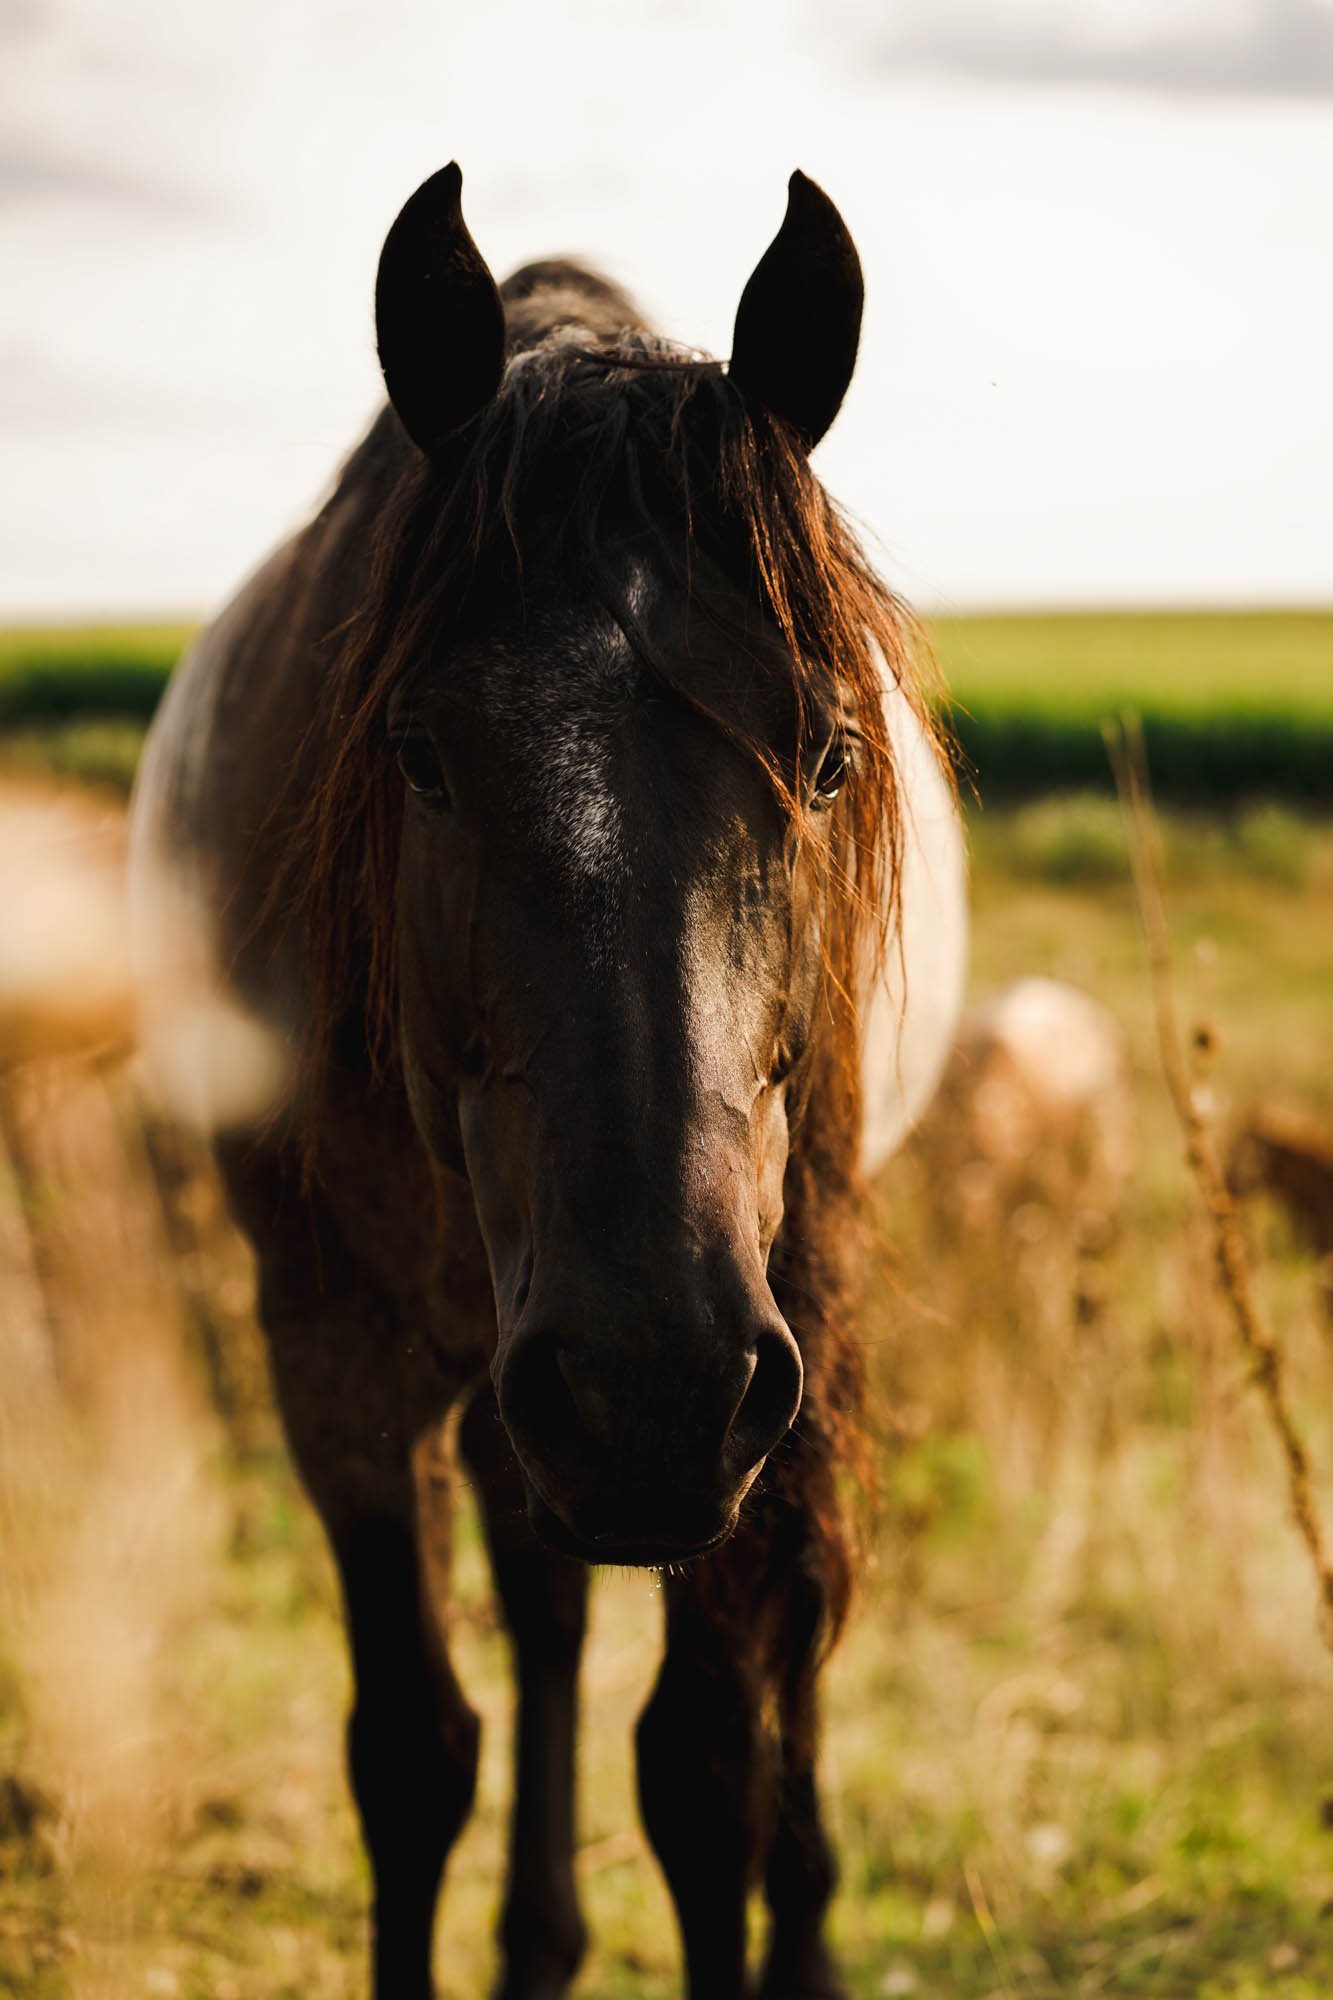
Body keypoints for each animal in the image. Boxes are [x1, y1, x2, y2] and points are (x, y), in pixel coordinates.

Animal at [129, 163, 966, 2000]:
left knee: (787, 1653)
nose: (648, 1381)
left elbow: (711, 1767)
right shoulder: (336, 1354)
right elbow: (412, 1752)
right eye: (417, 758)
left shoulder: (757, 1353)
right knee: (546, 1601)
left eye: (826, 758)